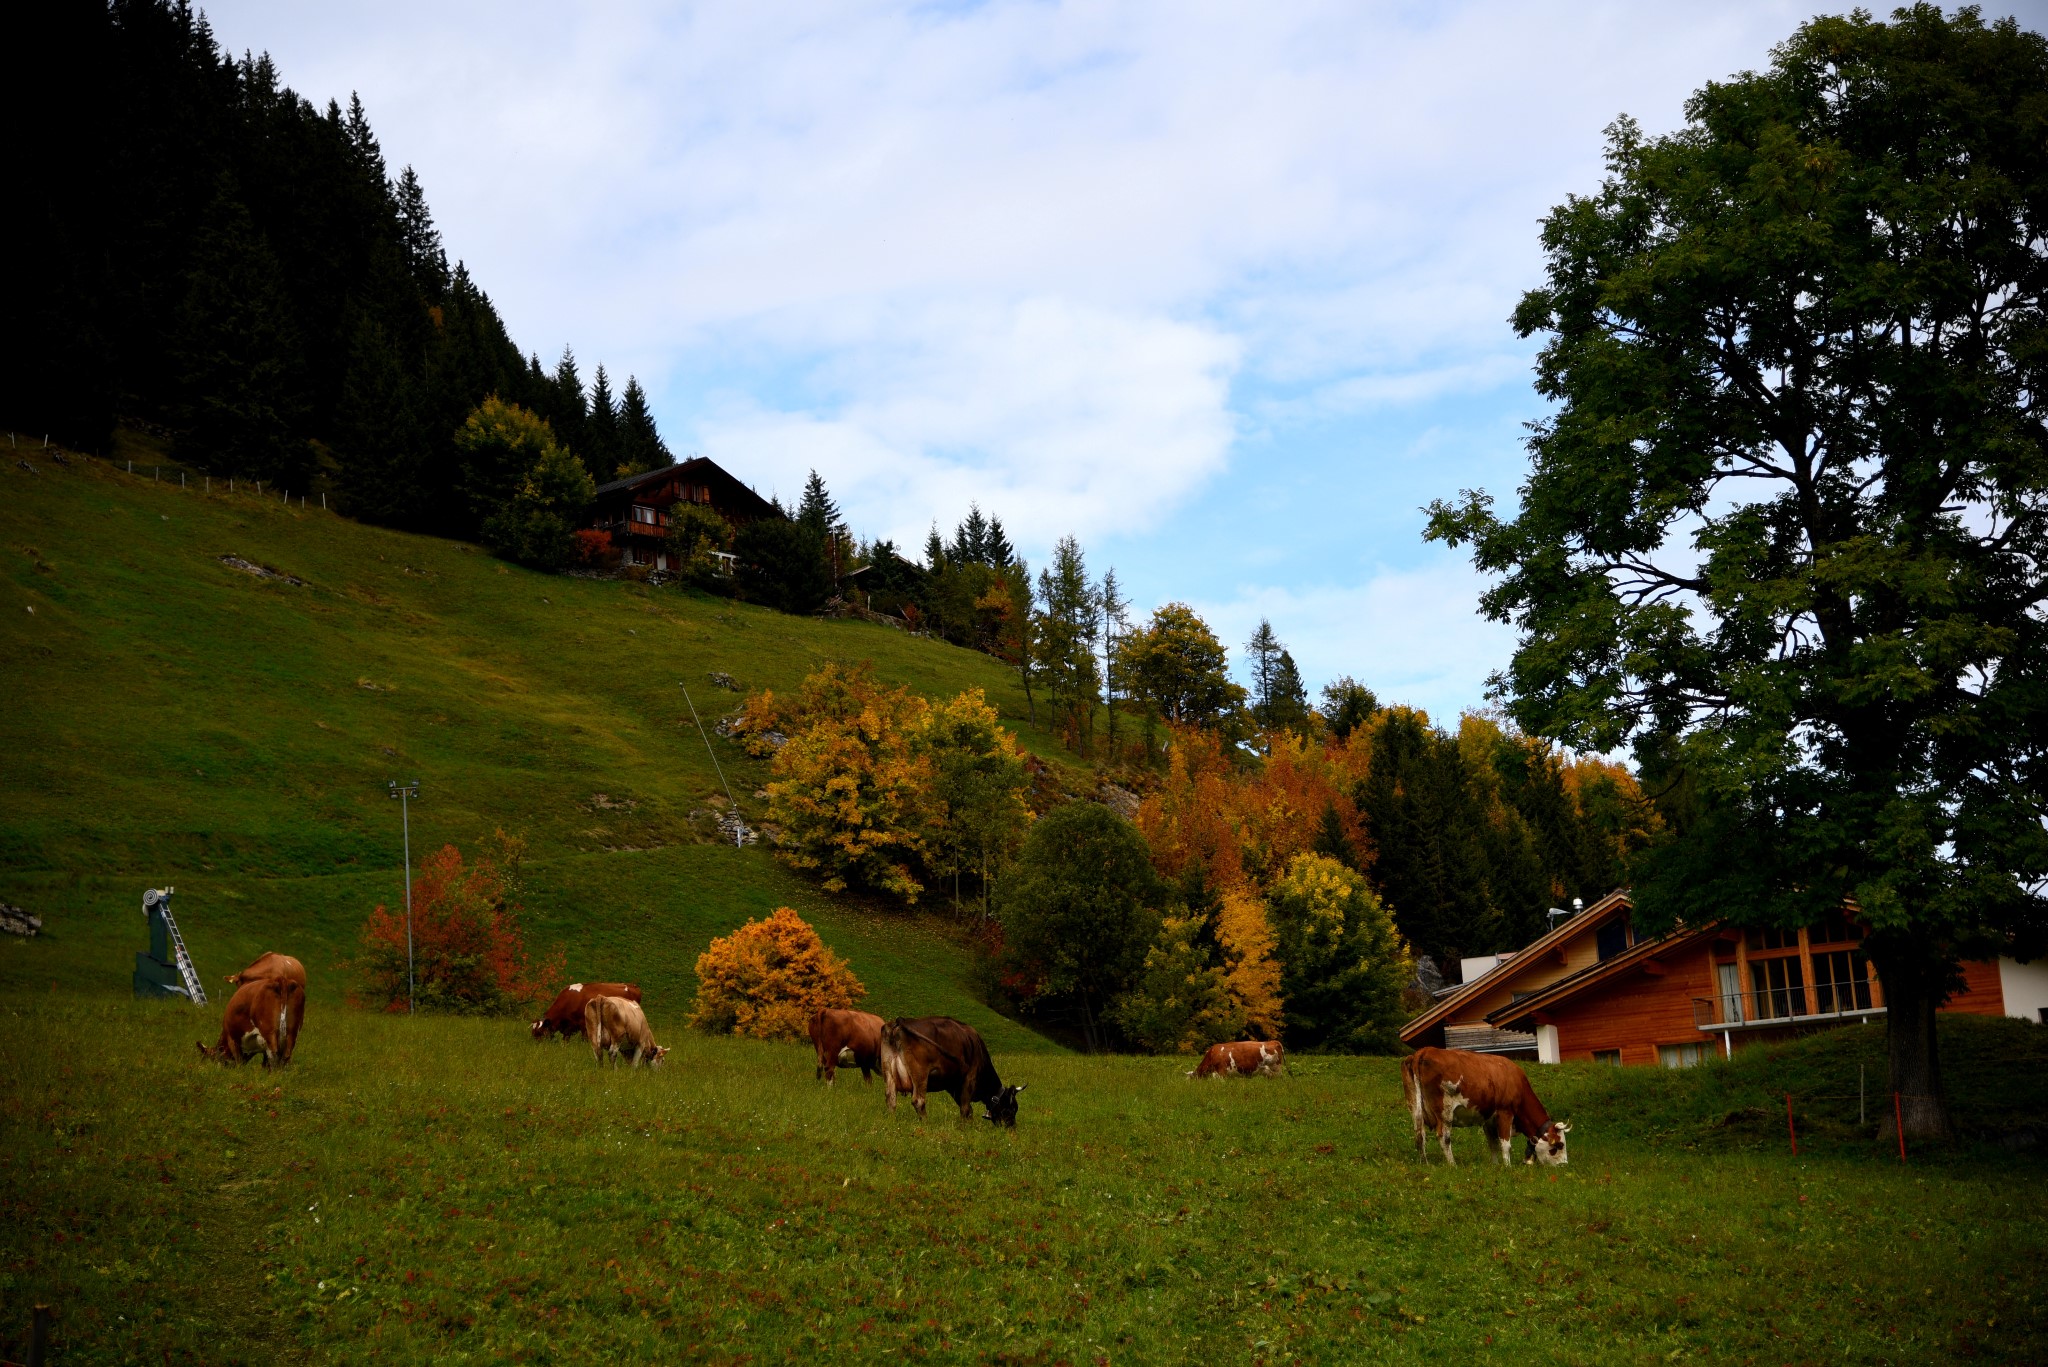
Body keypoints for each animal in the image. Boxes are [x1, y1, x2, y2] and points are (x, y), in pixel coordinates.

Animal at [876, 1016, 1019, 1123]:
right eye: (1012, 1109)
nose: (1011, 1127)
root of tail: (899, 1021)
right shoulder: (970, 1077)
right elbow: (965, 1107)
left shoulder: (953, 1085)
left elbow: (966, 1107)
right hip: (920, 1074)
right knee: (918, 1101)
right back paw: (926, 1123)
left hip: (888, 1071)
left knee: (890, 1098)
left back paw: (892, 1122)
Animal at [1400, 1049, 1572, 1164]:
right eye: (1560, 1145)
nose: (1563, 1165)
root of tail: (1424, 1051)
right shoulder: (1505, 1112)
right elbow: (1505, 1144)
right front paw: (1507, 1167)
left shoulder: (1488, 1120)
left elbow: (1493, 1144)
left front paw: (1495, 1166)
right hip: (1445, 1111)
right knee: (1444, 1137)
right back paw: (1452, 1165)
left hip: (1414, 1107)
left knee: (1419, 1135)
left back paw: (1425, 1164)